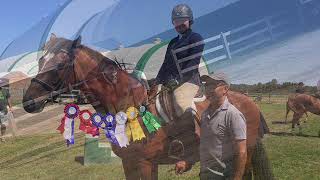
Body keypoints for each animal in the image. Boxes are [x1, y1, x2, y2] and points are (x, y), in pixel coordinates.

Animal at [22, 34, 272, 180]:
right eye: (41, 61)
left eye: (60, 64)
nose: (28, 102)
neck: (127, 105)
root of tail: (247, 100)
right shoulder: (131, 163)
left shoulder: (142, 163)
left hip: (244, 149)